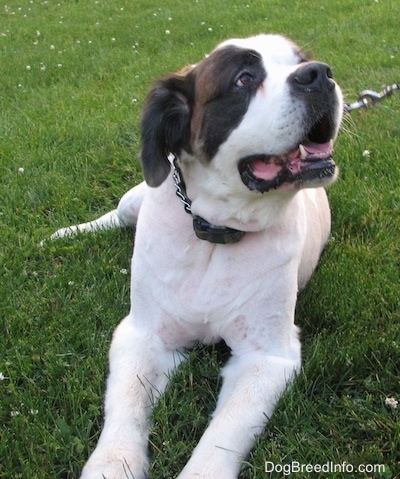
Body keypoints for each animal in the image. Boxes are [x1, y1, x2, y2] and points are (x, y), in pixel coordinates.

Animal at [47, 34, 344, 479]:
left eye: (301, 60)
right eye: (244, 78)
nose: (319, 74)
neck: (214, 233)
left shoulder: (266, 357)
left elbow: (224, 431)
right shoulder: (144, 334)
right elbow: (127, 406)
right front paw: (113, 463)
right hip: (134, 201)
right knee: (115, 215)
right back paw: (64, 234)